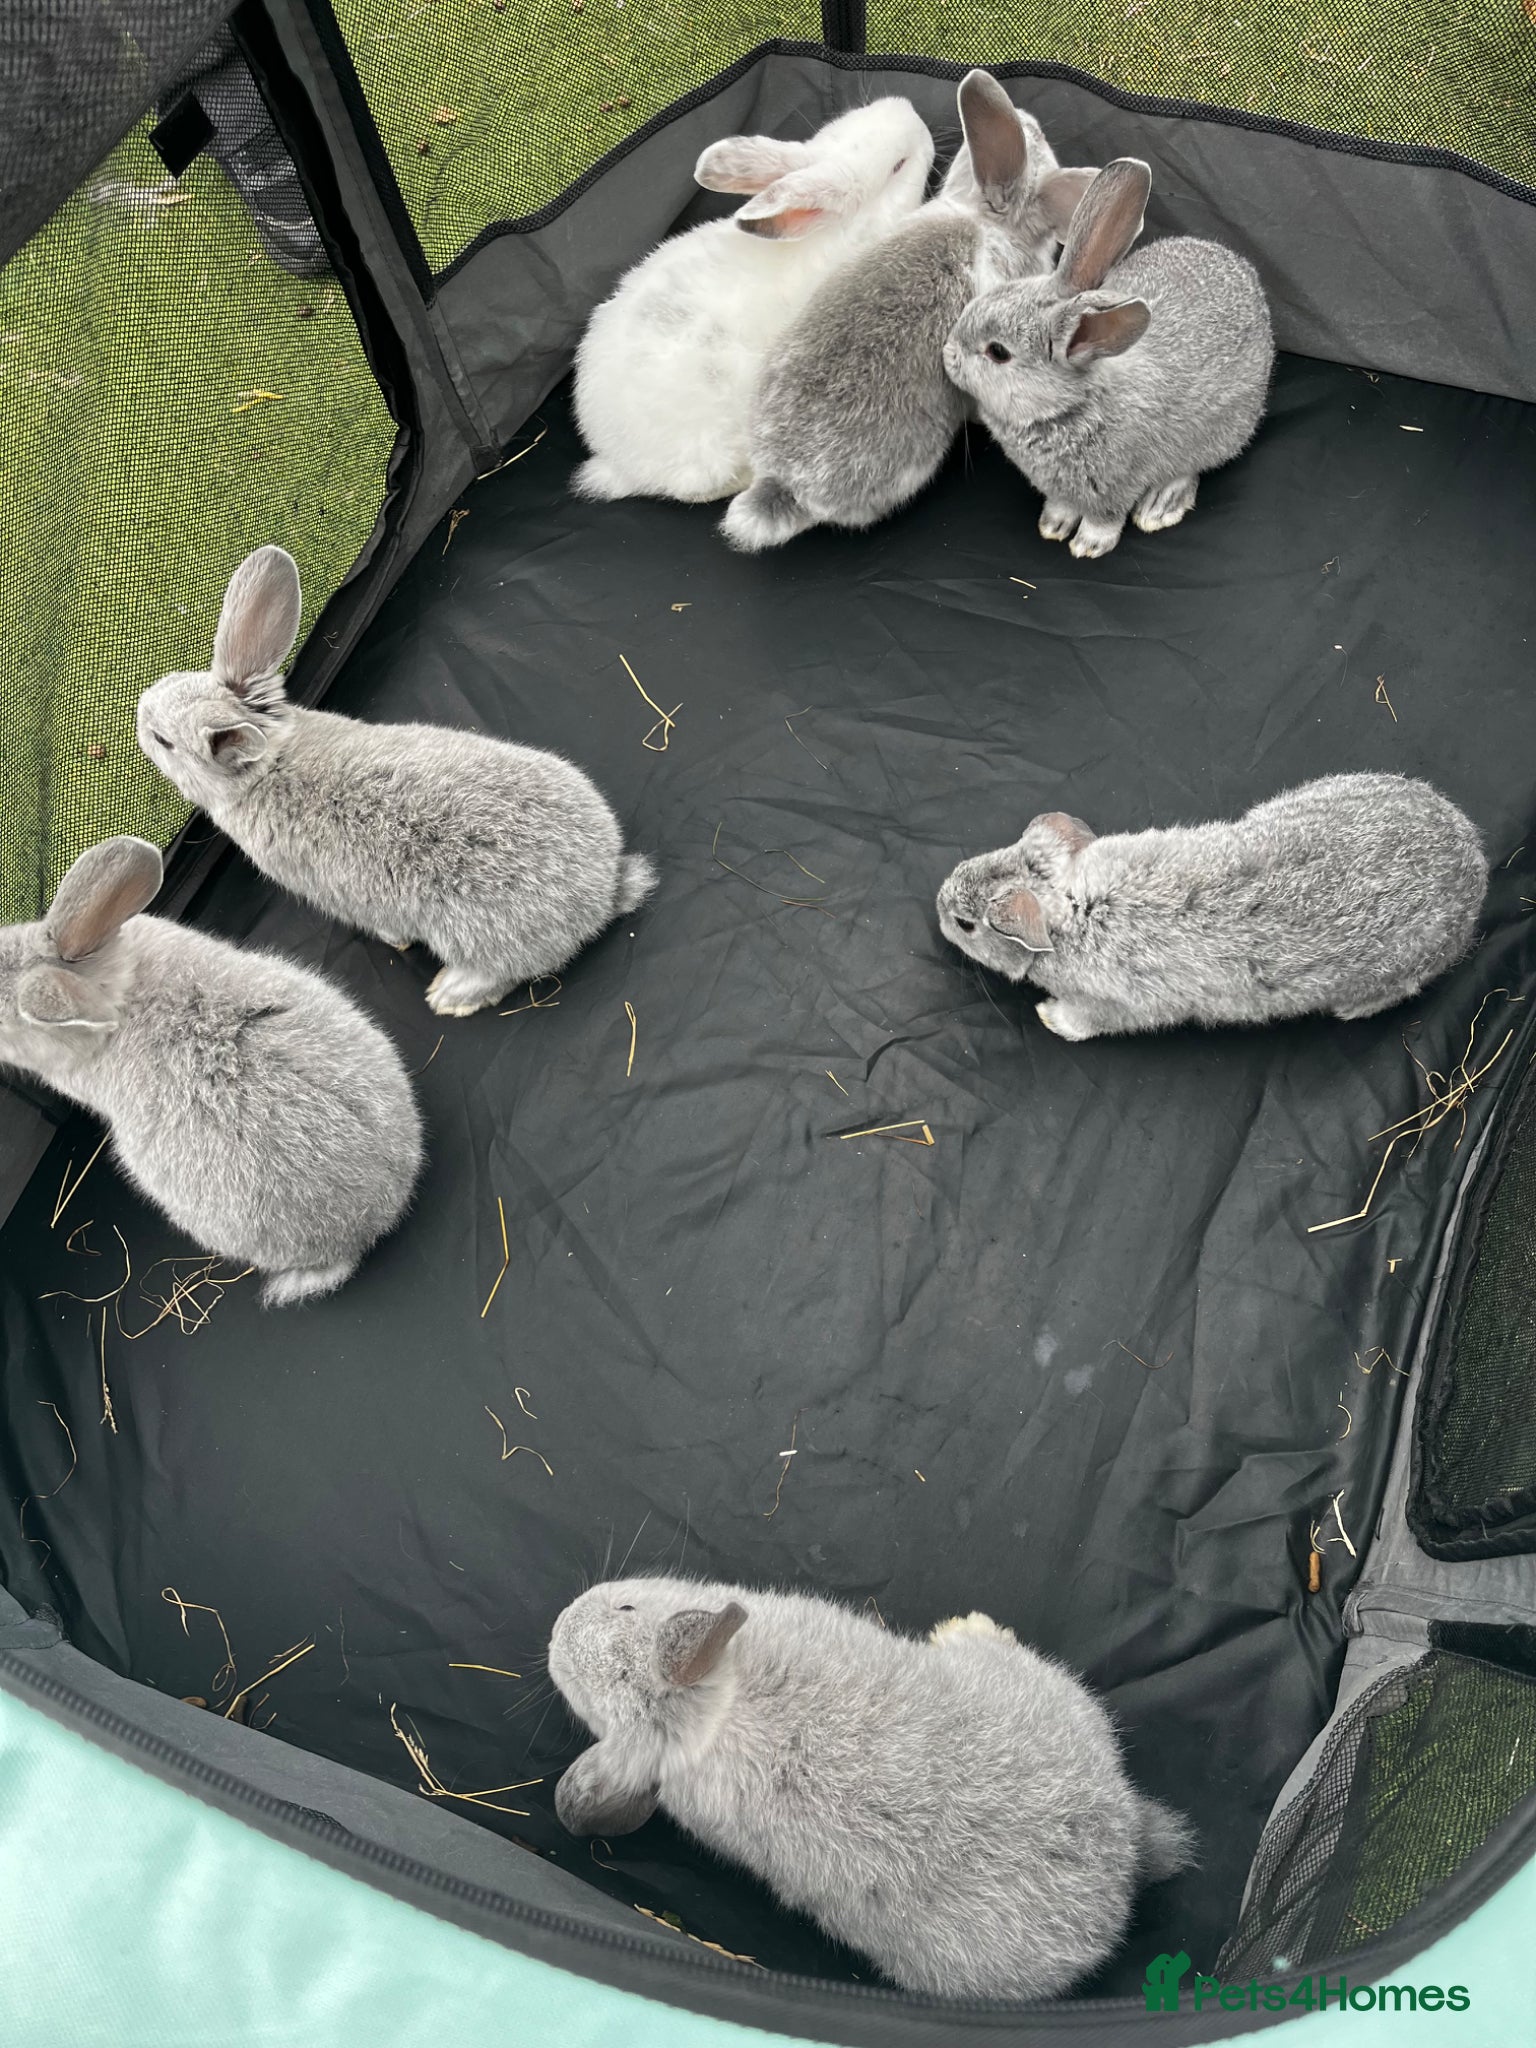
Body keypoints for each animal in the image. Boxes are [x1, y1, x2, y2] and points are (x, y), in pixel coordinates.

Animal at [137, 546, 657, 1017]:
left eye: (163, 740)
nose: (140, 707)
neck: (269, 765)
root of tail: (603, 893)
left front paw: (398, 943)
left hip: (483, 941)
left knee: (503, 975)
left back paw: (448, 996)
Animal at [936, 775, 1488, 1042]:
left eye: (965, 924)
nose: (938, 906)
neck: (1073, 912)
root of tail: (1474, 861)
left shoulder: (1115, 1004)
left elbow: (1086, 1022)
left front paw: (1049, 1017)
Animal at [943, 157, 1274, 558]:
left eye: (998, 352)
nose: (948, 353)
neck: (1070, 406)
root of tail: (1249, 276)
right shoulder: (1062, 488)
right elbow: (1062, 505)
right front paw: (1053, 525)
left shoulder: (1115, 486)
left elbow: (1105, 518)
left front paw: (1088, 545)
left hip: (1224, 429)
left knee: (1192, 467)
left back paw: (1161, 505)